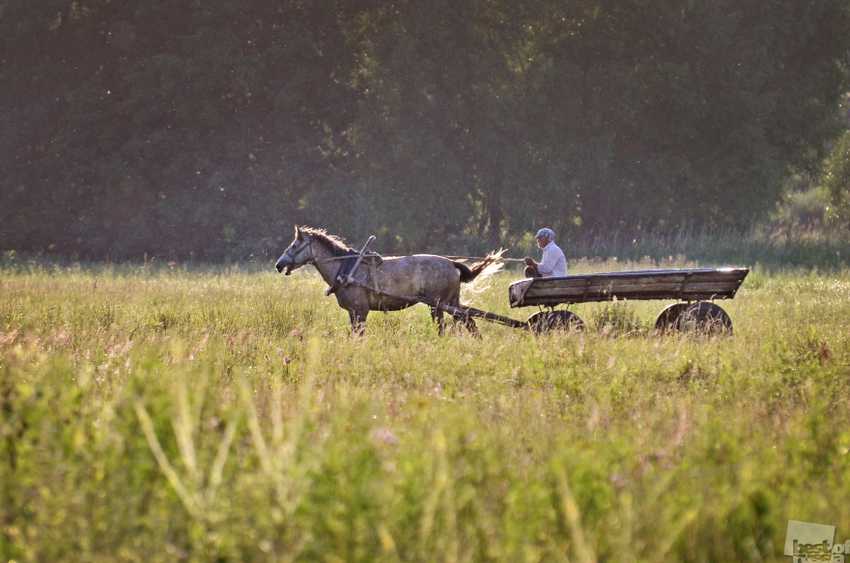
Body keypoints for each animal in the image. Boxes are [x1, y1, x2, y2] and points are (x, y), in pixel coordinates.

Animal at [274, 227, 500, 334]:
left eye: (295, 245)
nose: (279, 264)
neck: (346, 268)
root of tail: (452, 264)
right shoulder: (353, 313)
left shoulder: (360, 311)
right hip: (451, 303)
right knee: (469, 322)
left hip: (438, 306)